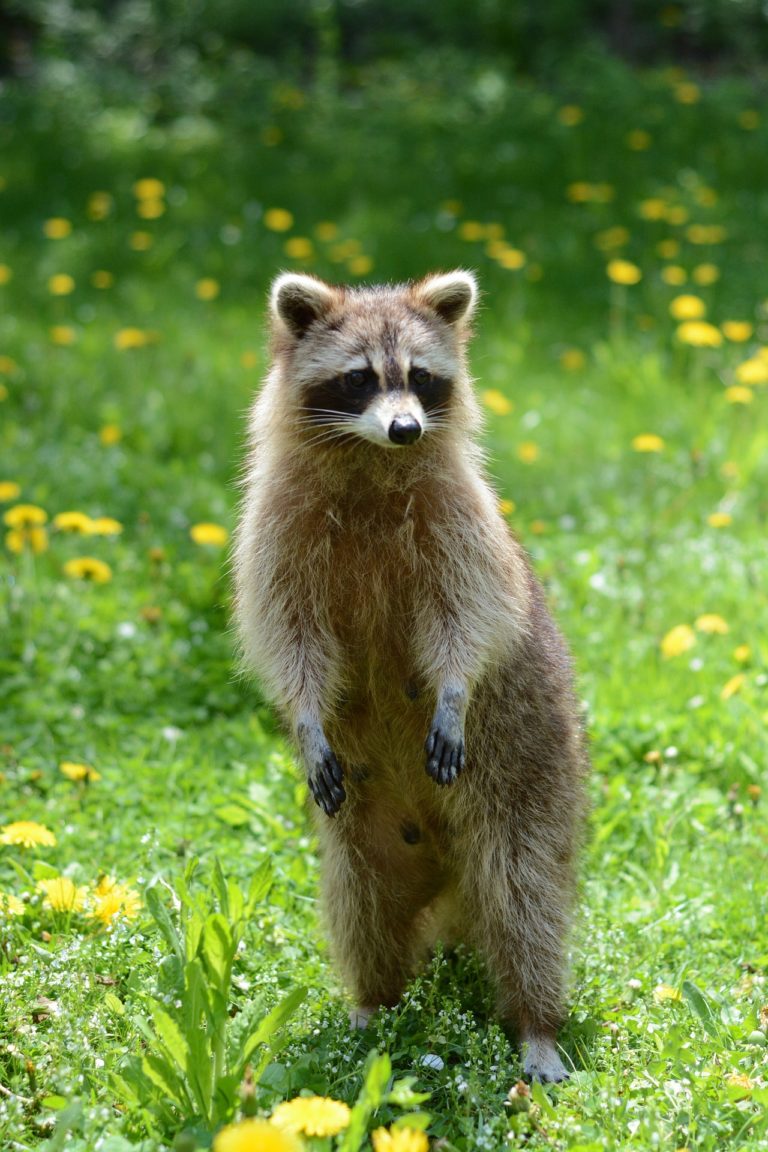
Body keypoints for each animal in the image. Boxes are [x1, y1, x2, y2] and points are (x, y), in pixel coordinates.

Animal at [233, 270, 588, 1083]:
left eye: (420, 378)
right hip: (361, 834)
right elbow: (286, 634)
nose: (406, 429)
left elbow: (472, 615)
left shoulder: (460, 520)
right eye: (360, 378)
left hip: (532, 777)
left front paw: (453, 691)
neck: (370, 461)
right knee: (361, 906)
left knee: (524, 898)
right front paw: (303, 714)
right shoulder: (277, 529)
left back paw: (537, 1021)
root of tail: (447, 875)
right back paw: (375, 1001)